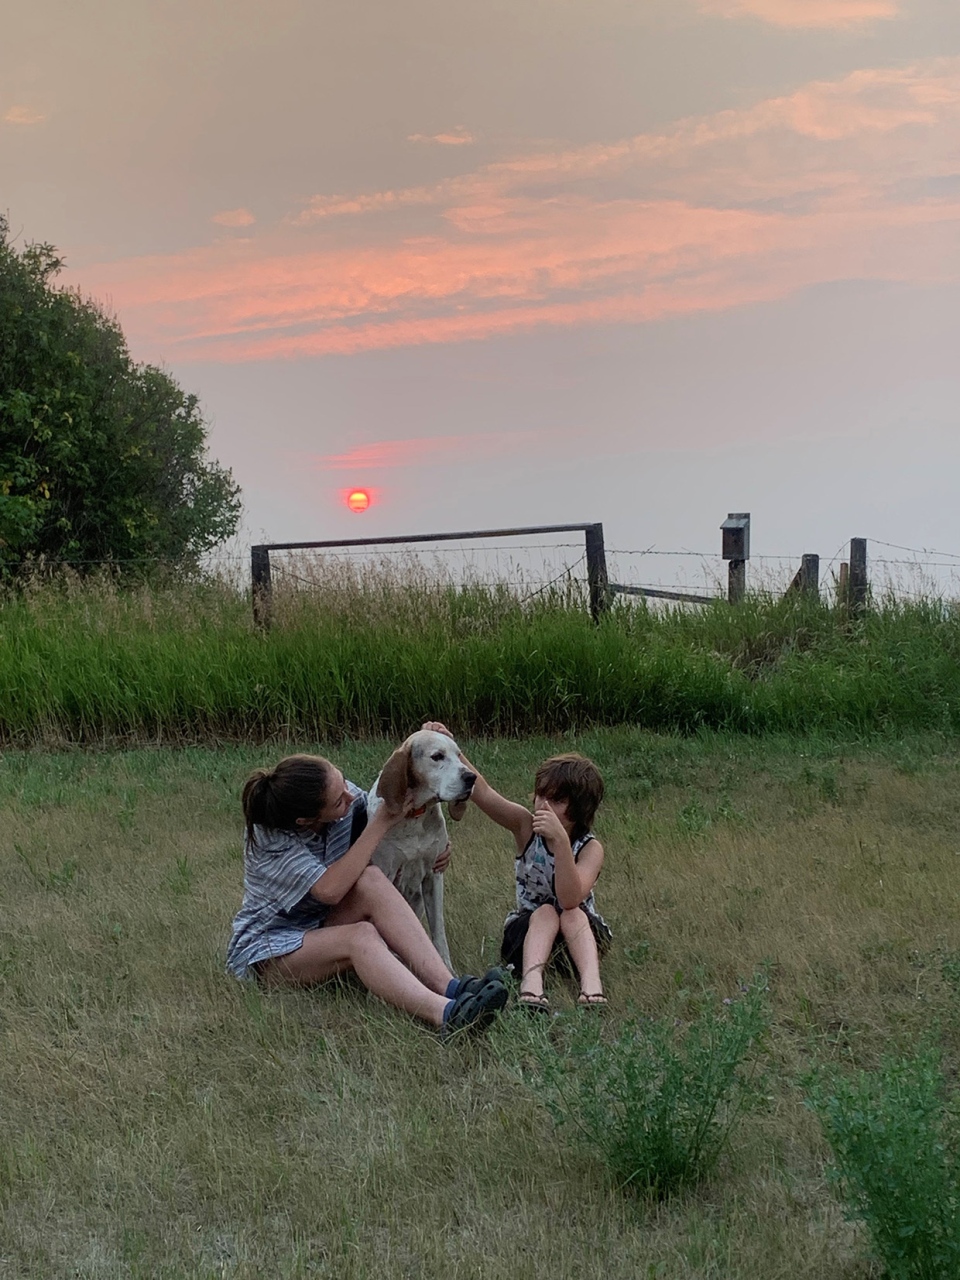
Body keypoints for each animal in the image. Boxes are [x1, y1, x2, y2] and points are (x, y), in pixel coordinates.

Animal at [366, 727, 476, 962]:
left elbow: (438, 933)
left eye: (459, 755)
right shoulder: (386, 874)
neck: (416, 816)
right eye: (437, 756)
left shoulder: (434, 874)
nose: (472, 777)